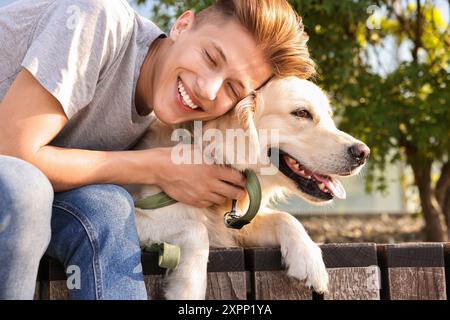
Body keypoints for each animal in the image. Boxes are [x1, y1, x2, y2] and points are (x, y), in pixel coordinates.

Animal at [125, 76, 370, 298]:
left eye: (329, 116)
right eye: (302, 113)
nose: (363, 153)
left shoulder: (236, 223)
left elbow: (285, 217)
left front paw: (309, 258)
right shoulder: (143, 214)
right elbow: (197, 229)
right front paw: (186, 291)